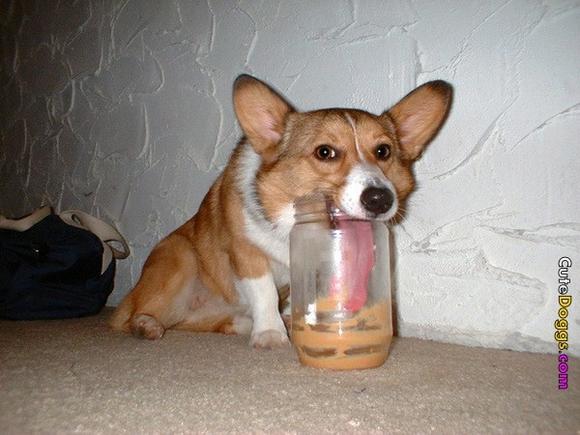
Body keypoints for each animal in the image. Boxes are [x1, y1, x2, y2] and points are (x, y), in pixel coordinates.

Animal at [109, 75, 452, 348]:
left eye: (383, 151)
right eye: (324, 152)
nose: (380, 199)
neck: (293, 222)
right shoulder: (246, 253)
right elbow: (264, 294)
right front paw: (270, 334)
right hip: (179, 257)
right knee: (132, 317)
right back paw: (147, 325)